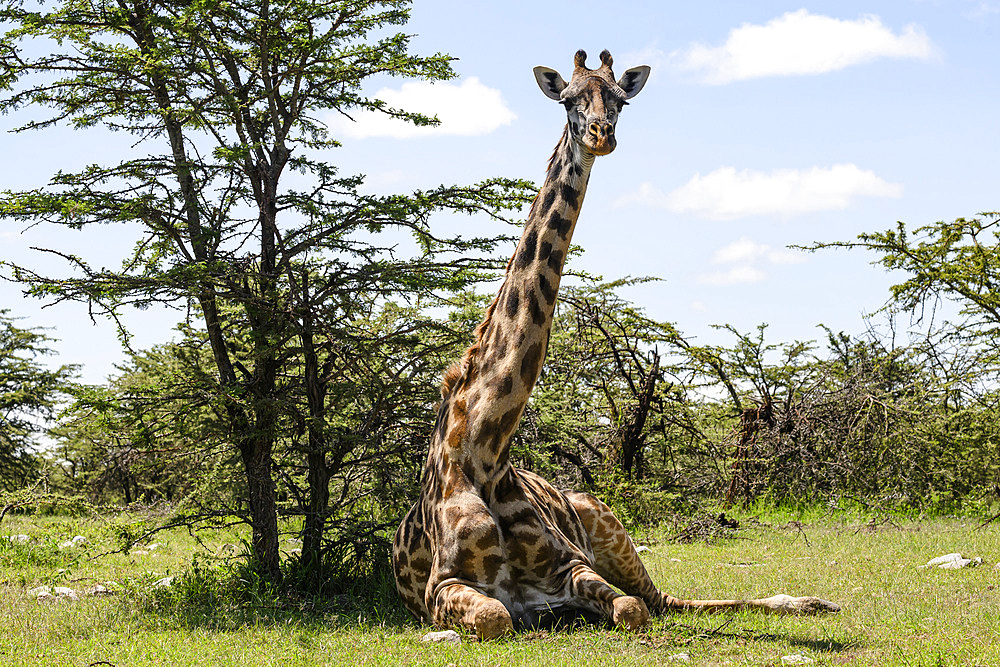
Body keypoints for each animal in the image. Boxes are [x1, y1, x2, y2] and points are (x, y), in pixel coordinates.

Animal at [394, 49, 840, 640]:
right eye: (567, 99)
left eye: (621, 99)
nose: (601, 135)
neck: (484, 451)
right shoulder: (441, 585)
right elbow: (496, 616)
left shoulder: (571, 564)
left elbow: (630, 609)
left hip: (606, 521)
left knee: (662, 599)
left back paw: (814, 602)